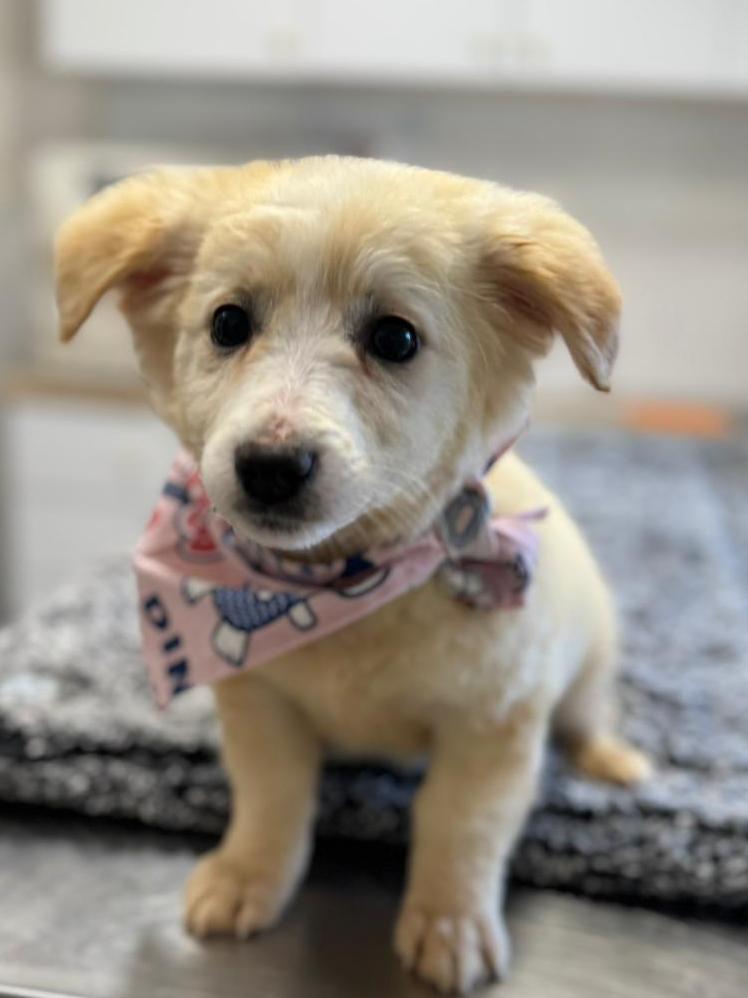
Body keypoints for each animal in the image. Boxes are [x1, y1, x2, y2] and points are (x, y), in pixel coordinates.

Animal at [55, 157, 650, 994]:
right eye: (228, 324)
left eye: (395, 338)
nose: (270, 467)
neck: (340, 585)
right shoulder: (261, 706)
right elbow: (272, 800)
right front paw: (247, 877)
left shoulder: (494, 727)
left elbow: (460, 827)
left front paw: (449, 922)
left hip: (590, 663)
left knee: (589, 716)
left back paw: (613, 761)